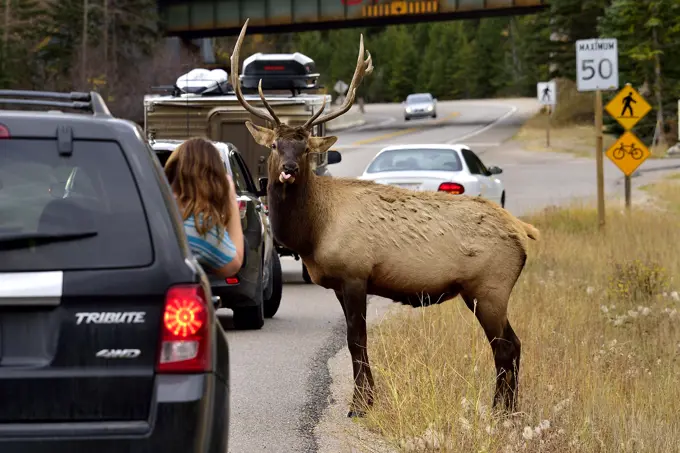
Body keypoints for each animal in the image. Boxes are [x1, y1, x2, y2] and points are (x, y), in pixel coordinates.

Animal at [231, 21, 540, 416]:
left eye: (305, 149)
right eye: (274, 145)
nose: (287, 170)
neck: (313, 232)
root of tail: (523, 231)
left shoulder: (355, 272)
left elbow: (356, 340)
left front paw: (360, 405)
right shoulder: (339, 283)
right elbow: (356, 341)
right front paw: (367, 401)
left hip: (490, 287)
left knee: (506, 345)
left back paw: (502, 410)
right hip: (485, 291)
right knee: (512, 343)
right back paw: (506, 409)